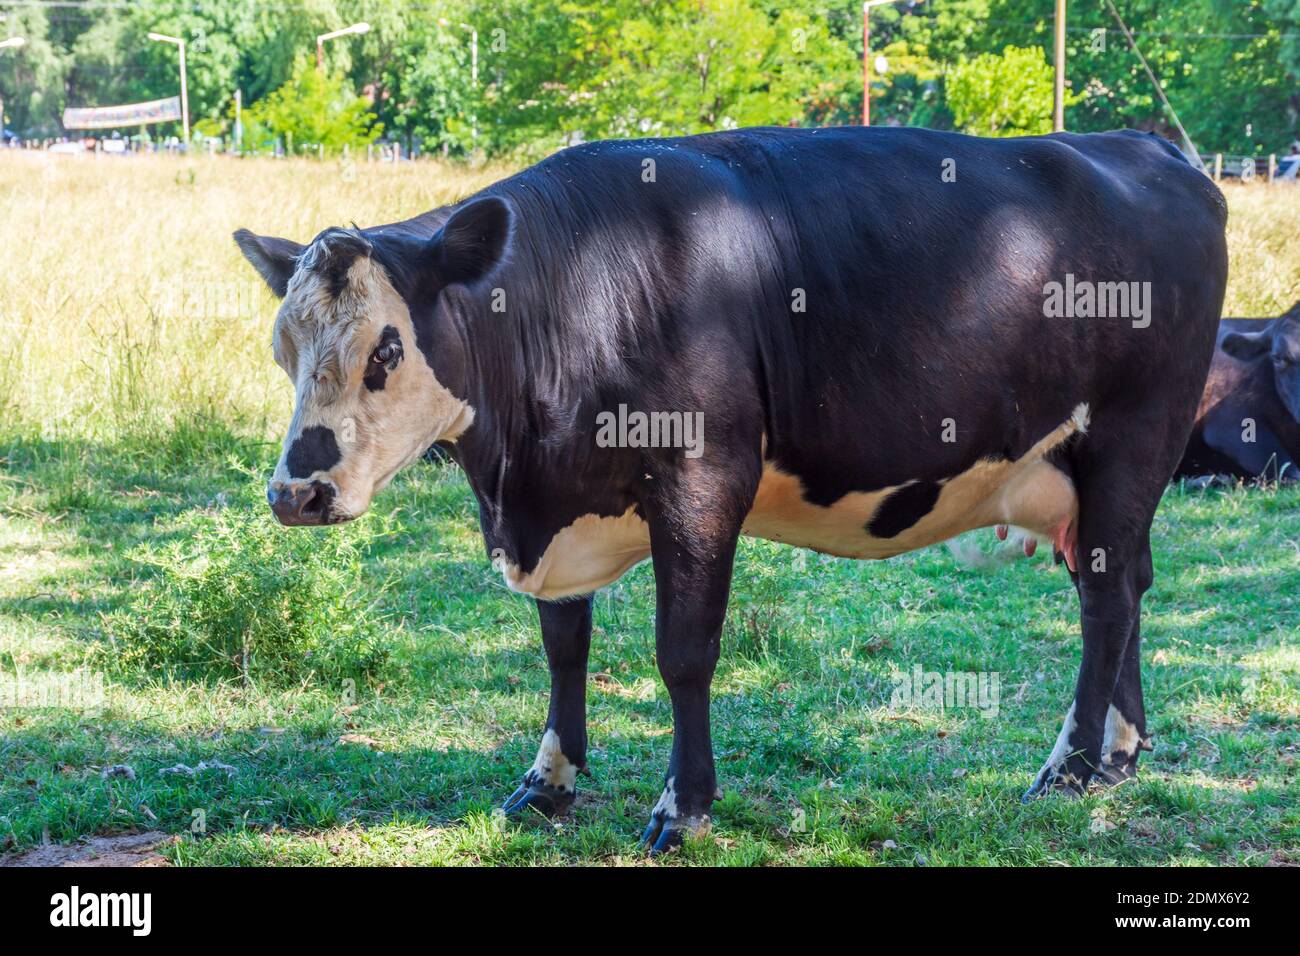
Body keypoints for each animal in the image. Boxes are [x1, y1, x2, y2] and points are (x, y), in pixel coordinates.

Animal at [234, 126, 1228, 852]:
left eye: (386, 350)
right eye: (284, 349)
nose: (296, 494)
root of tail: (1147, 145)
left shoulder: (703, 480)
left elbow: (684, 653)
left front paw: (684, 809)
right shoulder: (559, 510)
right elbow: (563, 647)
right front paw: (548, 783)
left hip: (1134, 436)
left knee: (1105, 598)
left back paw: (1068, 769)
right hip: (1084, 477)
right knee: (1127, 583)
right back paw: (1120, 754)